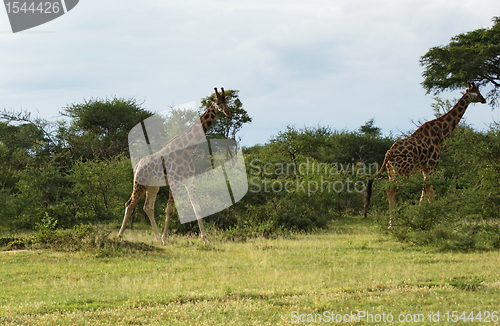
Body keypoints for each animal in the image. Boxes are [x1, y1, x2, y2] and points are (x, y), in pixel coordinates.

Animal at [119, 88, 230, 243]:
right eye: (218, 102)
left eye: (227, 101)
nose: (228, 112)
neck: (187, 149)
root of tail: (136, 167)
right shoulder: (175, 180)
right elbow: (170, 209)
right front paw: (165, 238)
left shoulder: (189, 179)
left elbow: (197, 208)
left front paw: (205, 238)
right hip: (139, 184)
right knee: (129, 204)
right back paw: (120, 235)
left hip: (153, 186)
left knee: (148, 207)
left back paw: (156, 238)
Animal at [362, 83, 486, 228]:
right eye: (477, 92)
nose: (484, 100)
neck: (440, 134)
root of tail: (389, 153)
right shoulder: (432, 165)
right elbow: (430, 192)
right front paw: (434, 220)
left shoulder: (424, 168)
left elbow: (424, 191)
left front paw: (417, 218)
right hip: (403, 171)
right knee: (391, 189)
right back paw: (392, 225)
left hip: (391, 171)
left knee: (390, 189)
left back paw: (392, 223)